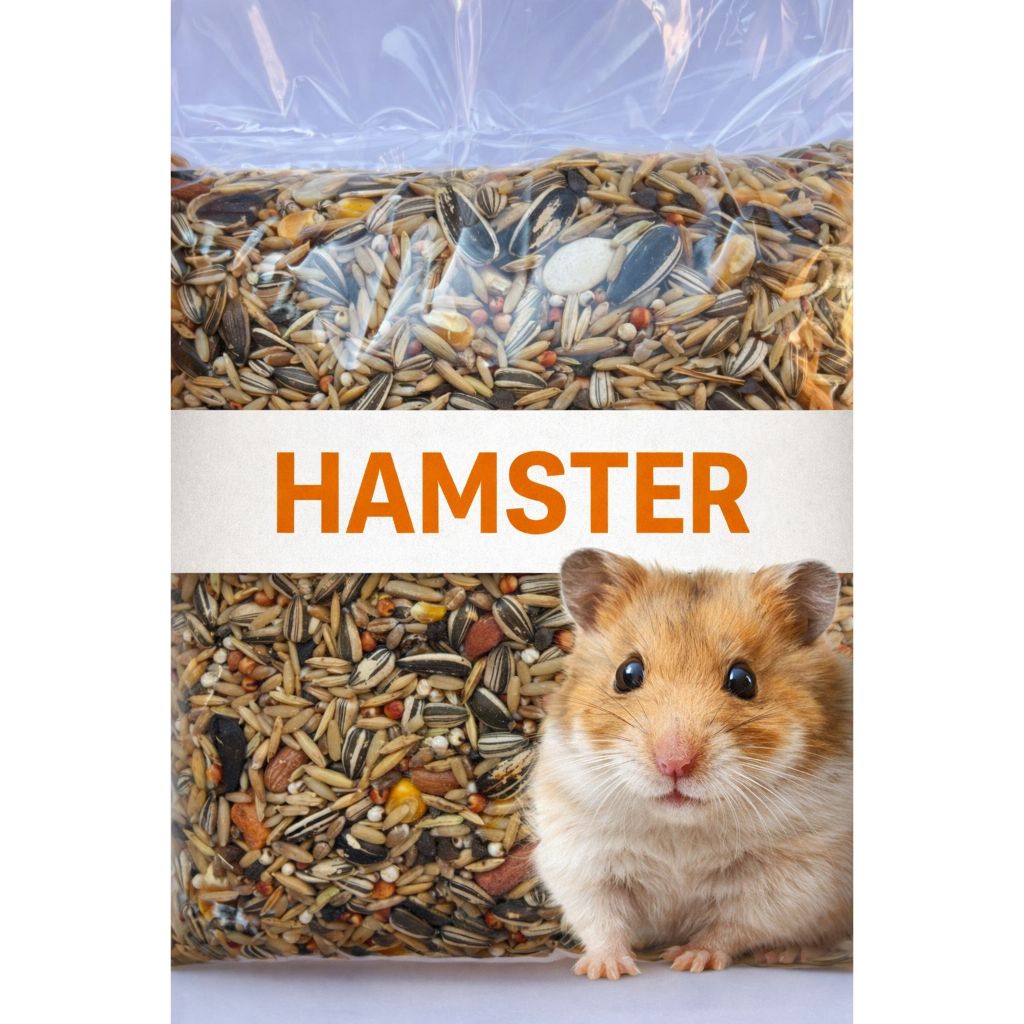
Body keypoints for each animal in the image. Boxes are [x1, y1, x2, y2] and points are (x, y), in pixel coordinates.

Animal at [530, 549, 851, 979]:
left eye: (743, 680)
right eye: (627, 673)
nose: (674, 764)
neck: (681, 829)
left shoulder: (791, 877)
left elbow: (732, 925)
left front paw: (688, 960)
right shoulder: (580, 856)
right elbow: (601, 918)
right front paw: (605, 970)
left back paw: (784, 954)